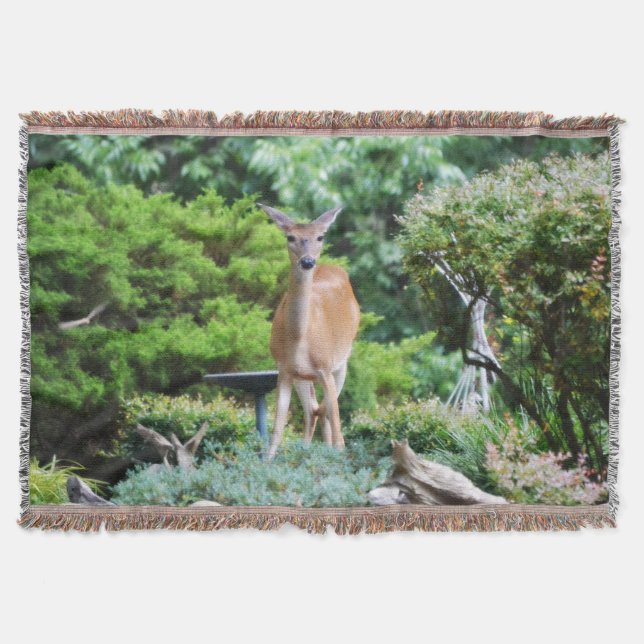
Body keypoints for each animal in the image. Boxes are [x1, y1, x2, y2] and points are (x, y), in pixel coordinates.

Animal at [258, 204, 360, 459]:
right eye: (290, 237)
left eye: (320, 237)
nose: (307, 262)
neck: (299, 338)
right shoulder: (284, 370)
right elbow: (277, 430)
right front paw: (267, 462)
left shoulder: (325, 366)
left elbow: (337, 424)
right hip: (303, 377)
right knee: (313, 410)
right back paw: (308, 451)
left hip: (342, 362)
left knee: (326, 412)